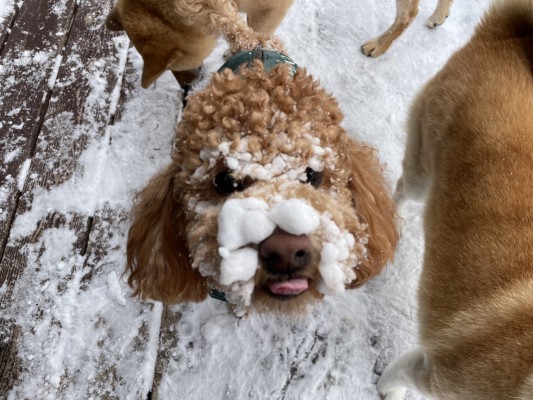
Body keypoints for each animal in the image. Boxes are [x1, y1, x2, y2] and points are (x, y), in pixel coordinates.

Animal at [376, 0, 532, 400]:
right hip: (420, 169)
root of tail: (507, 41)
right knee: (401, 190)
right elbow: (397, 376)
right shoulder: (436, 373)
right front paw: (387, 390)